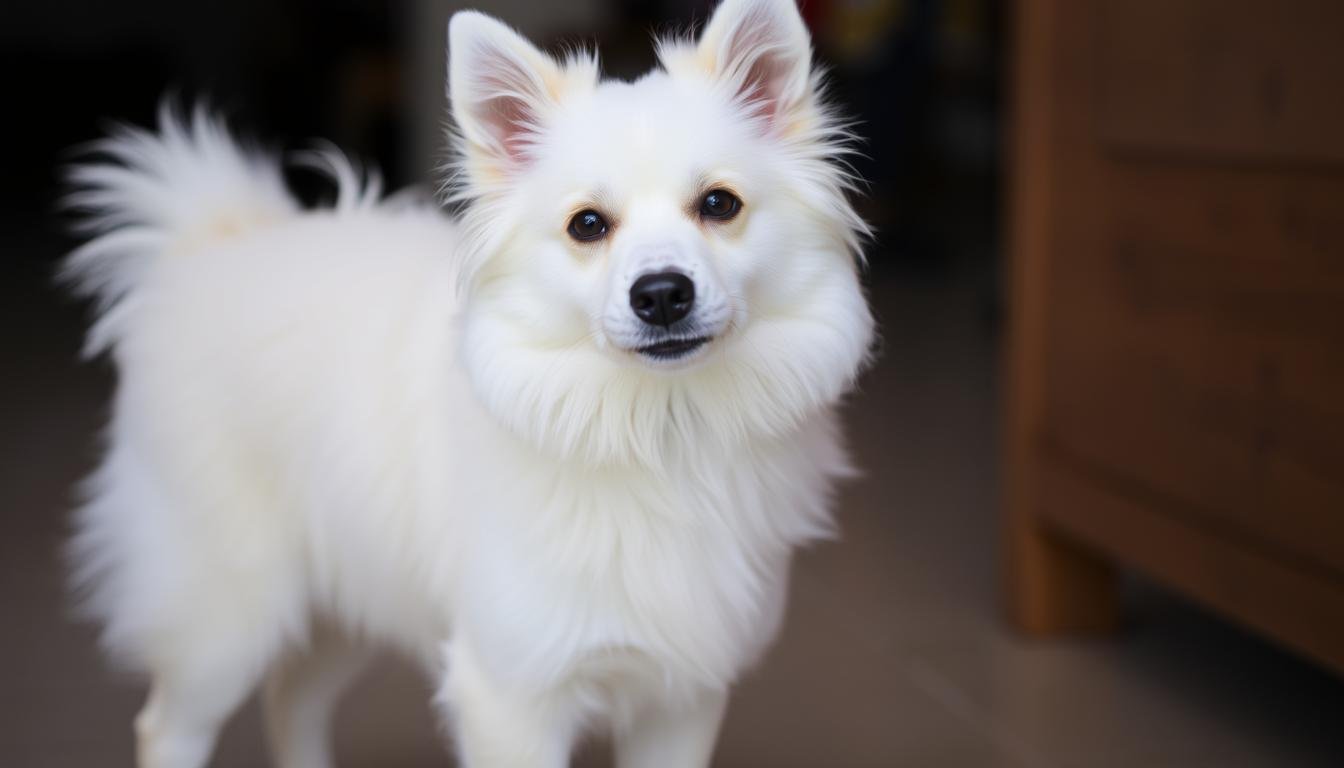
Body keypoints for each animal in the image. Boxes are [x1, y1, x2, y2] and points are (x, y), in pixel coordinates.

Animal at [65, 0, 870, 763]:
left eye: (719, 205)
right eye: (587, 225)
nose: (663, 293)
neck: (661, 428)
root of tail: (209, 247)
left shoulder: (683, 696)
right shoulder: (511, 699)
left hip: (351, 590)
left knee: (291, 699)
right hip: (228, 615)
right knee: (167, 727)